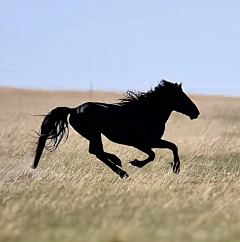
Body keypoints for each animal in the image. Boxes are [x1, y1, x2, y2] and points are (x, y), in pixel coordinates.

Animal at [32, 80, 201, 179]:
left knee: (96, 151)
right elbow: (156, 153)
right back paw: (121, 169)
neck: (147, 113)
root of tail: (73, 110)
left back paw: (118, 164)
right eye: (182, 97)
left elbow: (172, 146)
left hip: (94, 135)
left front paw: (176, 167)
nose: (196, 113)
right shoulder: (142, 143)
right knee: (97, 151)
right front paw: (136, 163)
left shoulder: (152, 141)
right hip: (94, 134)